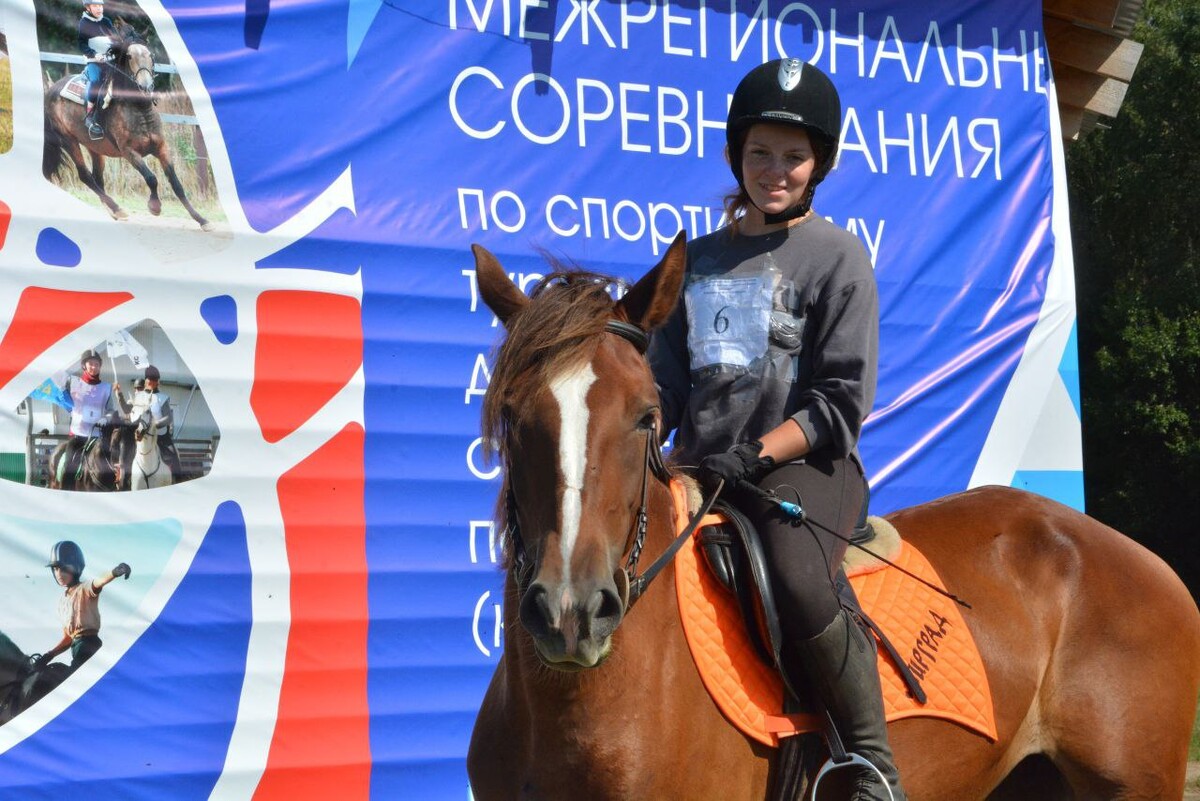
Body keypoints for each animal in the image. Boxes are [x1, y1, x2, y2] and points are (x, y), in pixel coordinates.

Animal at [43, 31, 213, 230]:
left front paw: (202, 220)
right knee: (85, 176)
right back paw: (118, 209)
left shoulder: (161, 148)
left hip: (94, 148)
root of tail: (50, 91)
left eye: (150, 55)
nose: (146, 86)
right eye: (130, 56)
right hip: (68, 141)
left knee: (97, 178)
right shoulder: (129, 152)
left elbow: (176, 184)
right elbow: (151, 178)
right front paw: (155, 207)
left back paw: (113, 211)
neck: (139, 109)